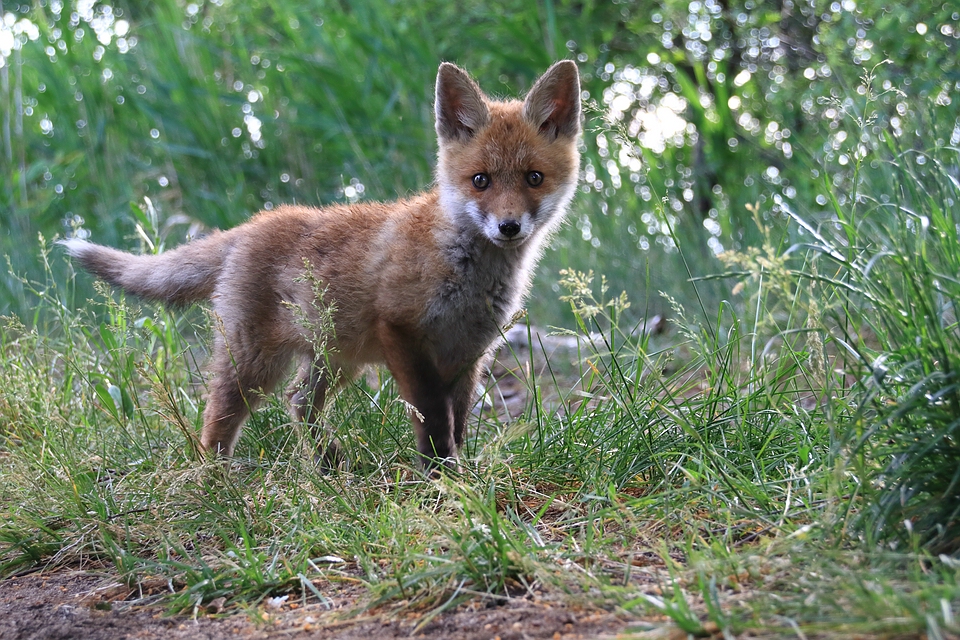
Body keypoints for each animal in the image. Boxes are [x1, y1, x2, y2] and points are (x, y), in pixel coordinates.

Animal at [63, 60, 584, 470]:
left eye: (533, 178)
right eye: (481, 181)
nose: (509, 227)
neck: (463, 268)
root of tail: (250, 225)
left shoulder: (469, 353)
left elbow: (457, 422)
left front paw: (458, 471)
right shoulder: (401, 331)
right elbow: (434, 418)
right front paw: (441, 476)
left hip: (334, 359)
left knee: (297, 403)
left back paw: (328, 464)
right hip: (254, 362)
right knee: (218, 418)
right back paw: (216, 479)